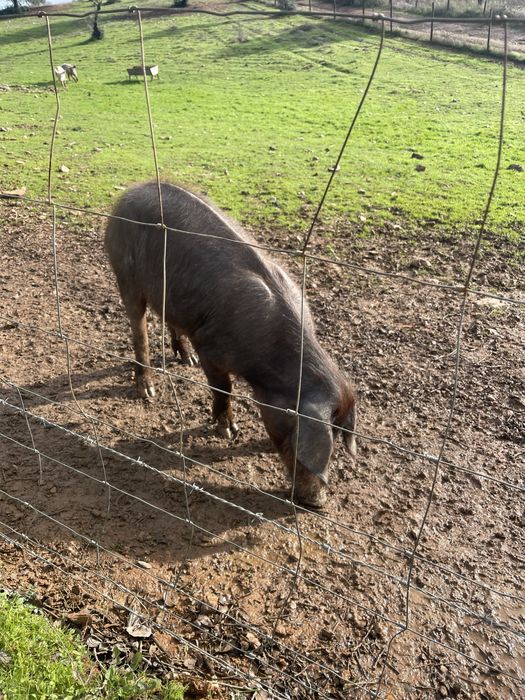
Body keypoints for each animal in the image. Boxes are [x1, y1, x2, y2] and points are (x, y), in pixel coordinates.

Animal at [104, 181, 356, 508]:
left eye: (337, 442)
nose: (317, 503)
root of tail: (129, 193)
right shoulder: (210, 347)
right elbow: (223, 389)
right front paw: (229, 432)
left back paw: (186, 360)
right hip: (125, 275)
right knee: (139, 330)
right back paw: (148, 390)